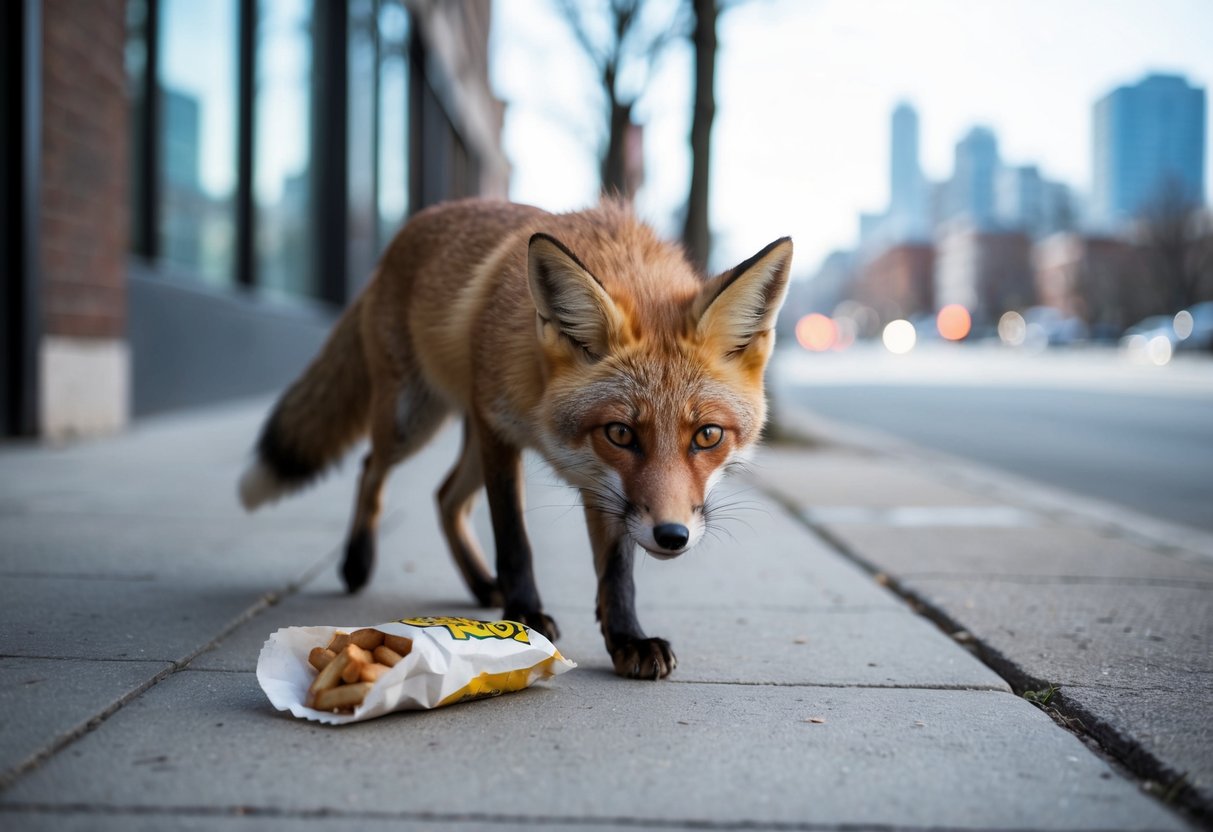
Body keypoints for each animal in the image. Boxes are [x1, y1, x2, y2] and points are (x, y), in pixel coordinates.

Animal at [239, 198, 792, 679]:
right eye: (621, 433)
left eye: (707, 435)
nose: (671, 536)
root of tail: (407, 230)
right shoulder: (499, 427)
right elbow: (513, 538)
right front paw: (524, 613)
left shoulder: (598, 480)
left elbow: (616, 570)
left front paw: (627, 638)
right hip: (411, 418)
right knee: (371, 467)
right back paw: (358, 562)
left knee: (445, 496)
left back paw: (482, 584)